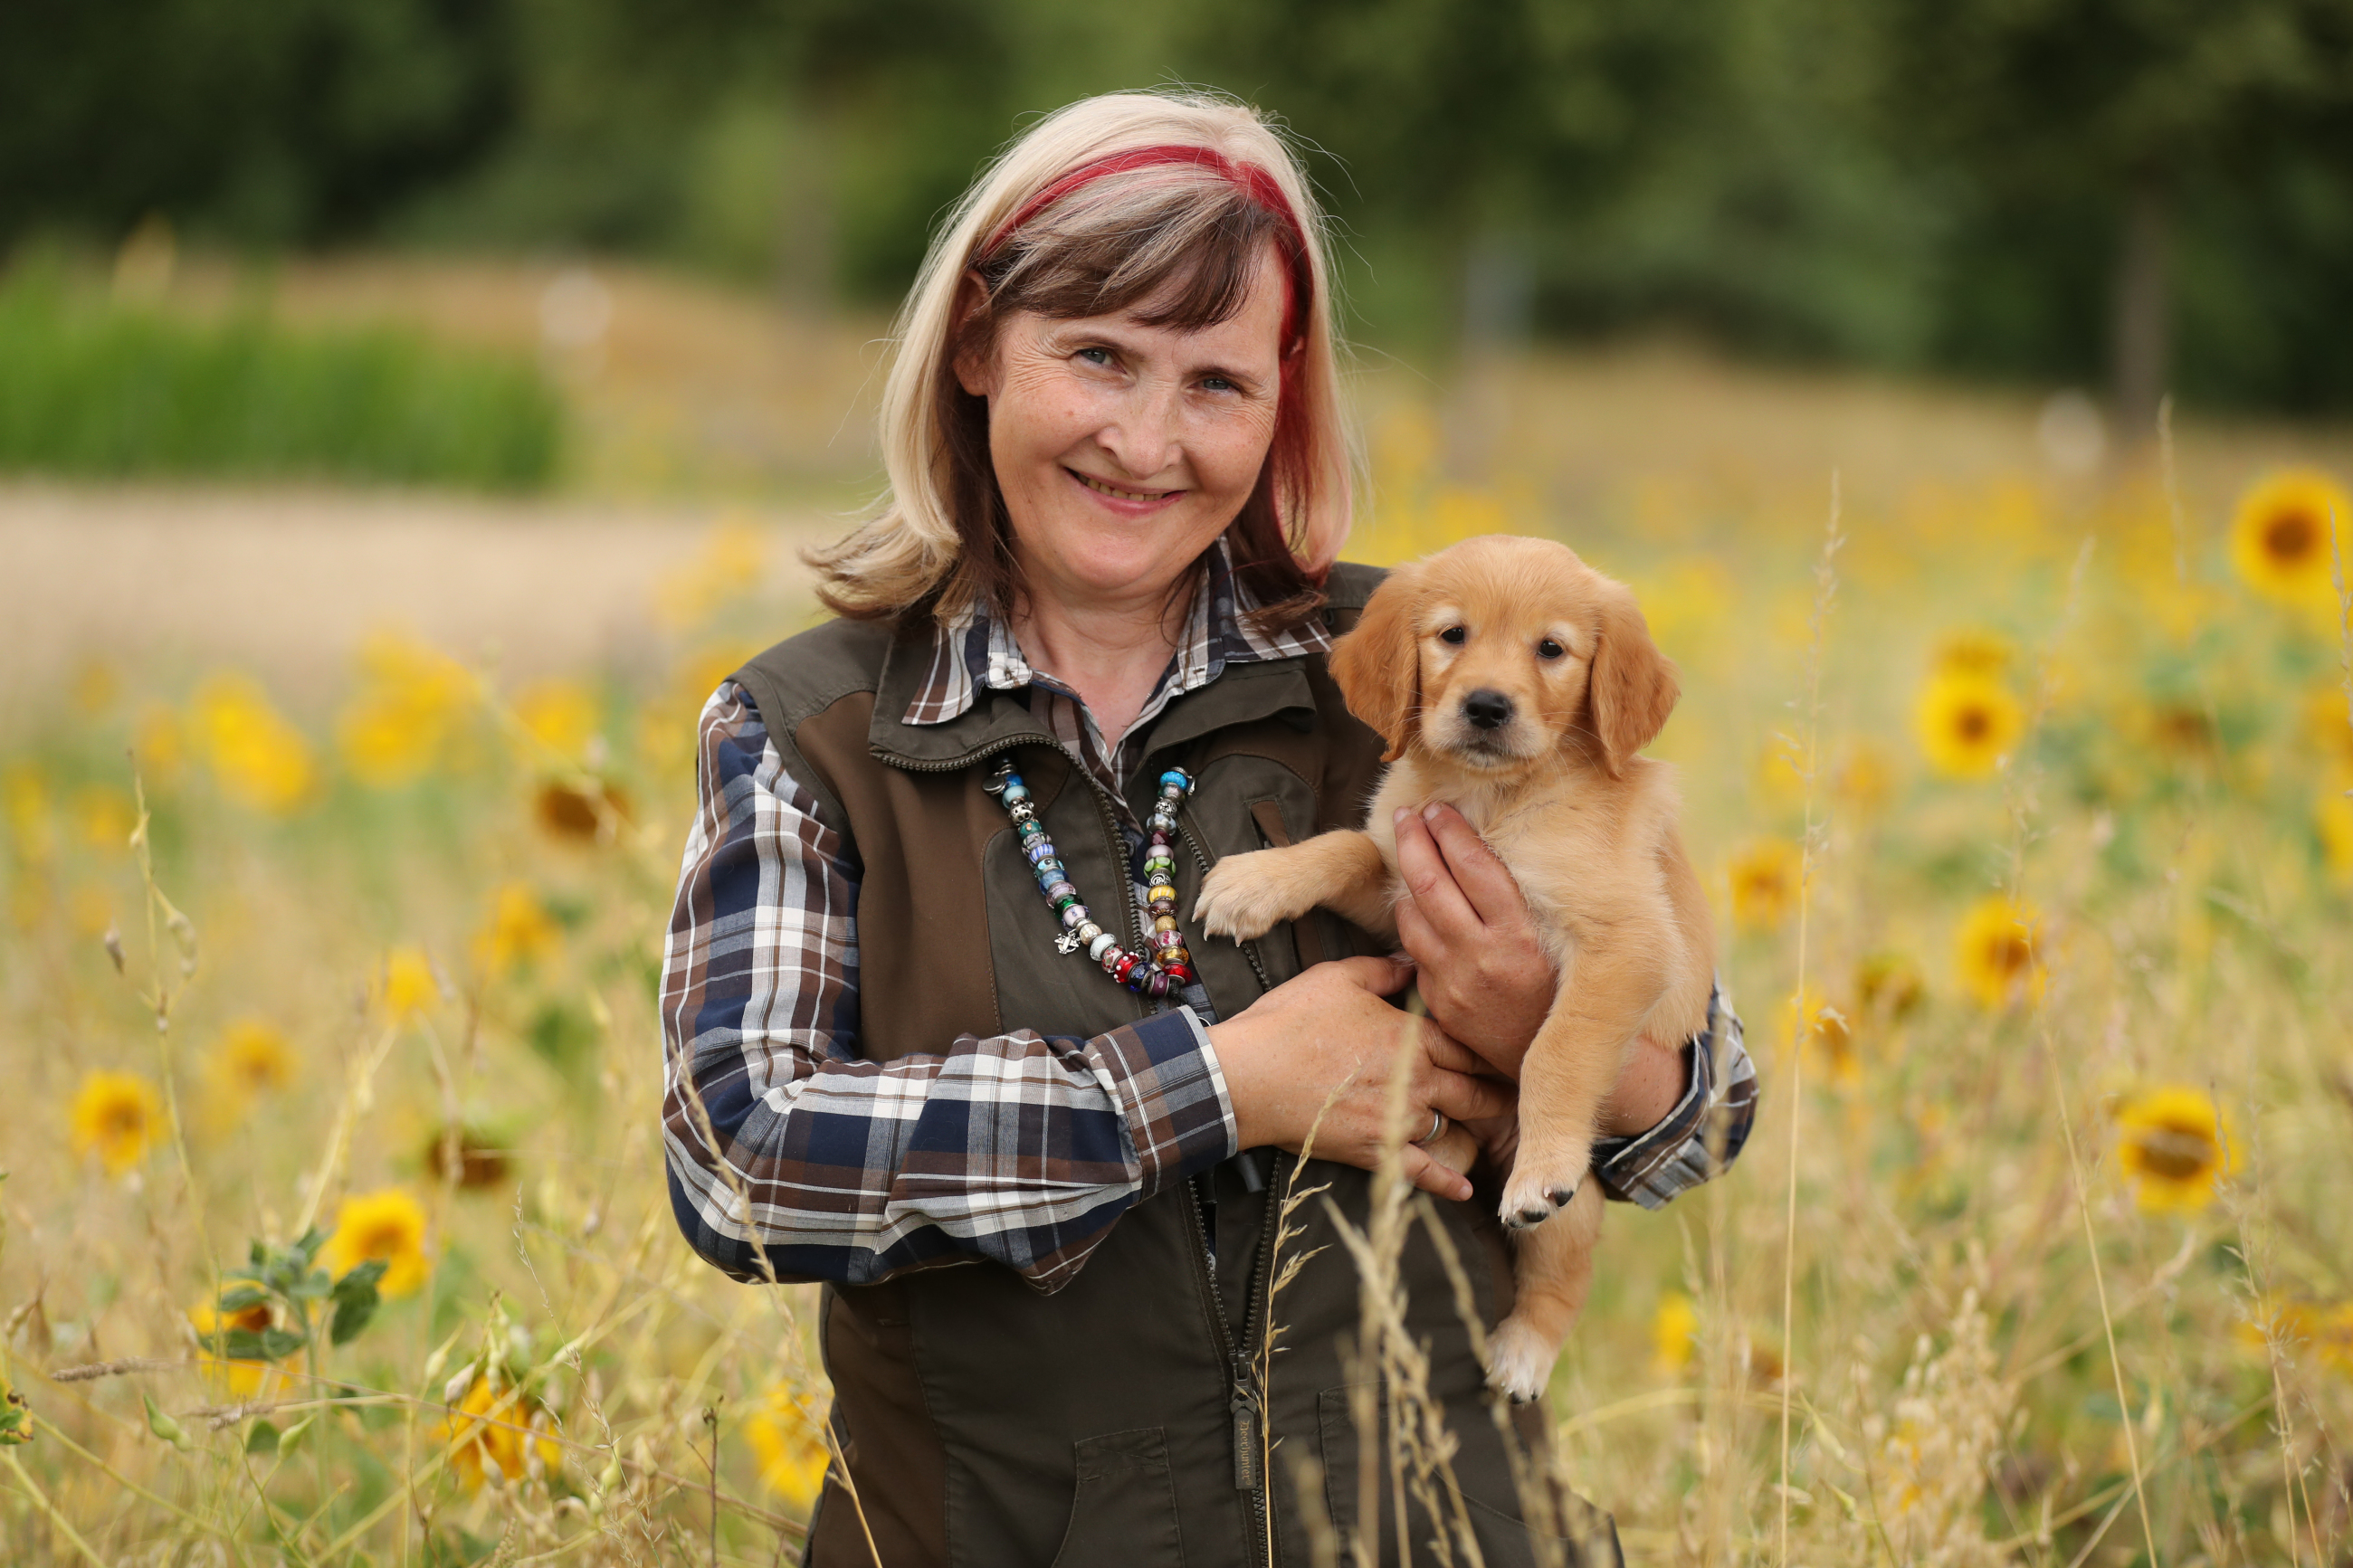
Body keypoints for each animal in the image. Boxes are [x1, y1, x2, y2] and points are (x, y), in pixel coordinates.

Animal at [1194, 533, 1716, 1401]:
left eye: (1551, 649)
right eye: (1452, 635)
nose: (1487, 707)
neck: (1493, 800)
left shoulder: (1629, 942)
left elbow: (1555, 1049)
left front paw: (1543, 1161)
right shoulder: (1401, 884)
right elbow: (1347, 845)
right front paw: (1255, 882)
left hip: (1574, 1209)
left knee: (1564, 1266)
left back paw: (1524, 1348)